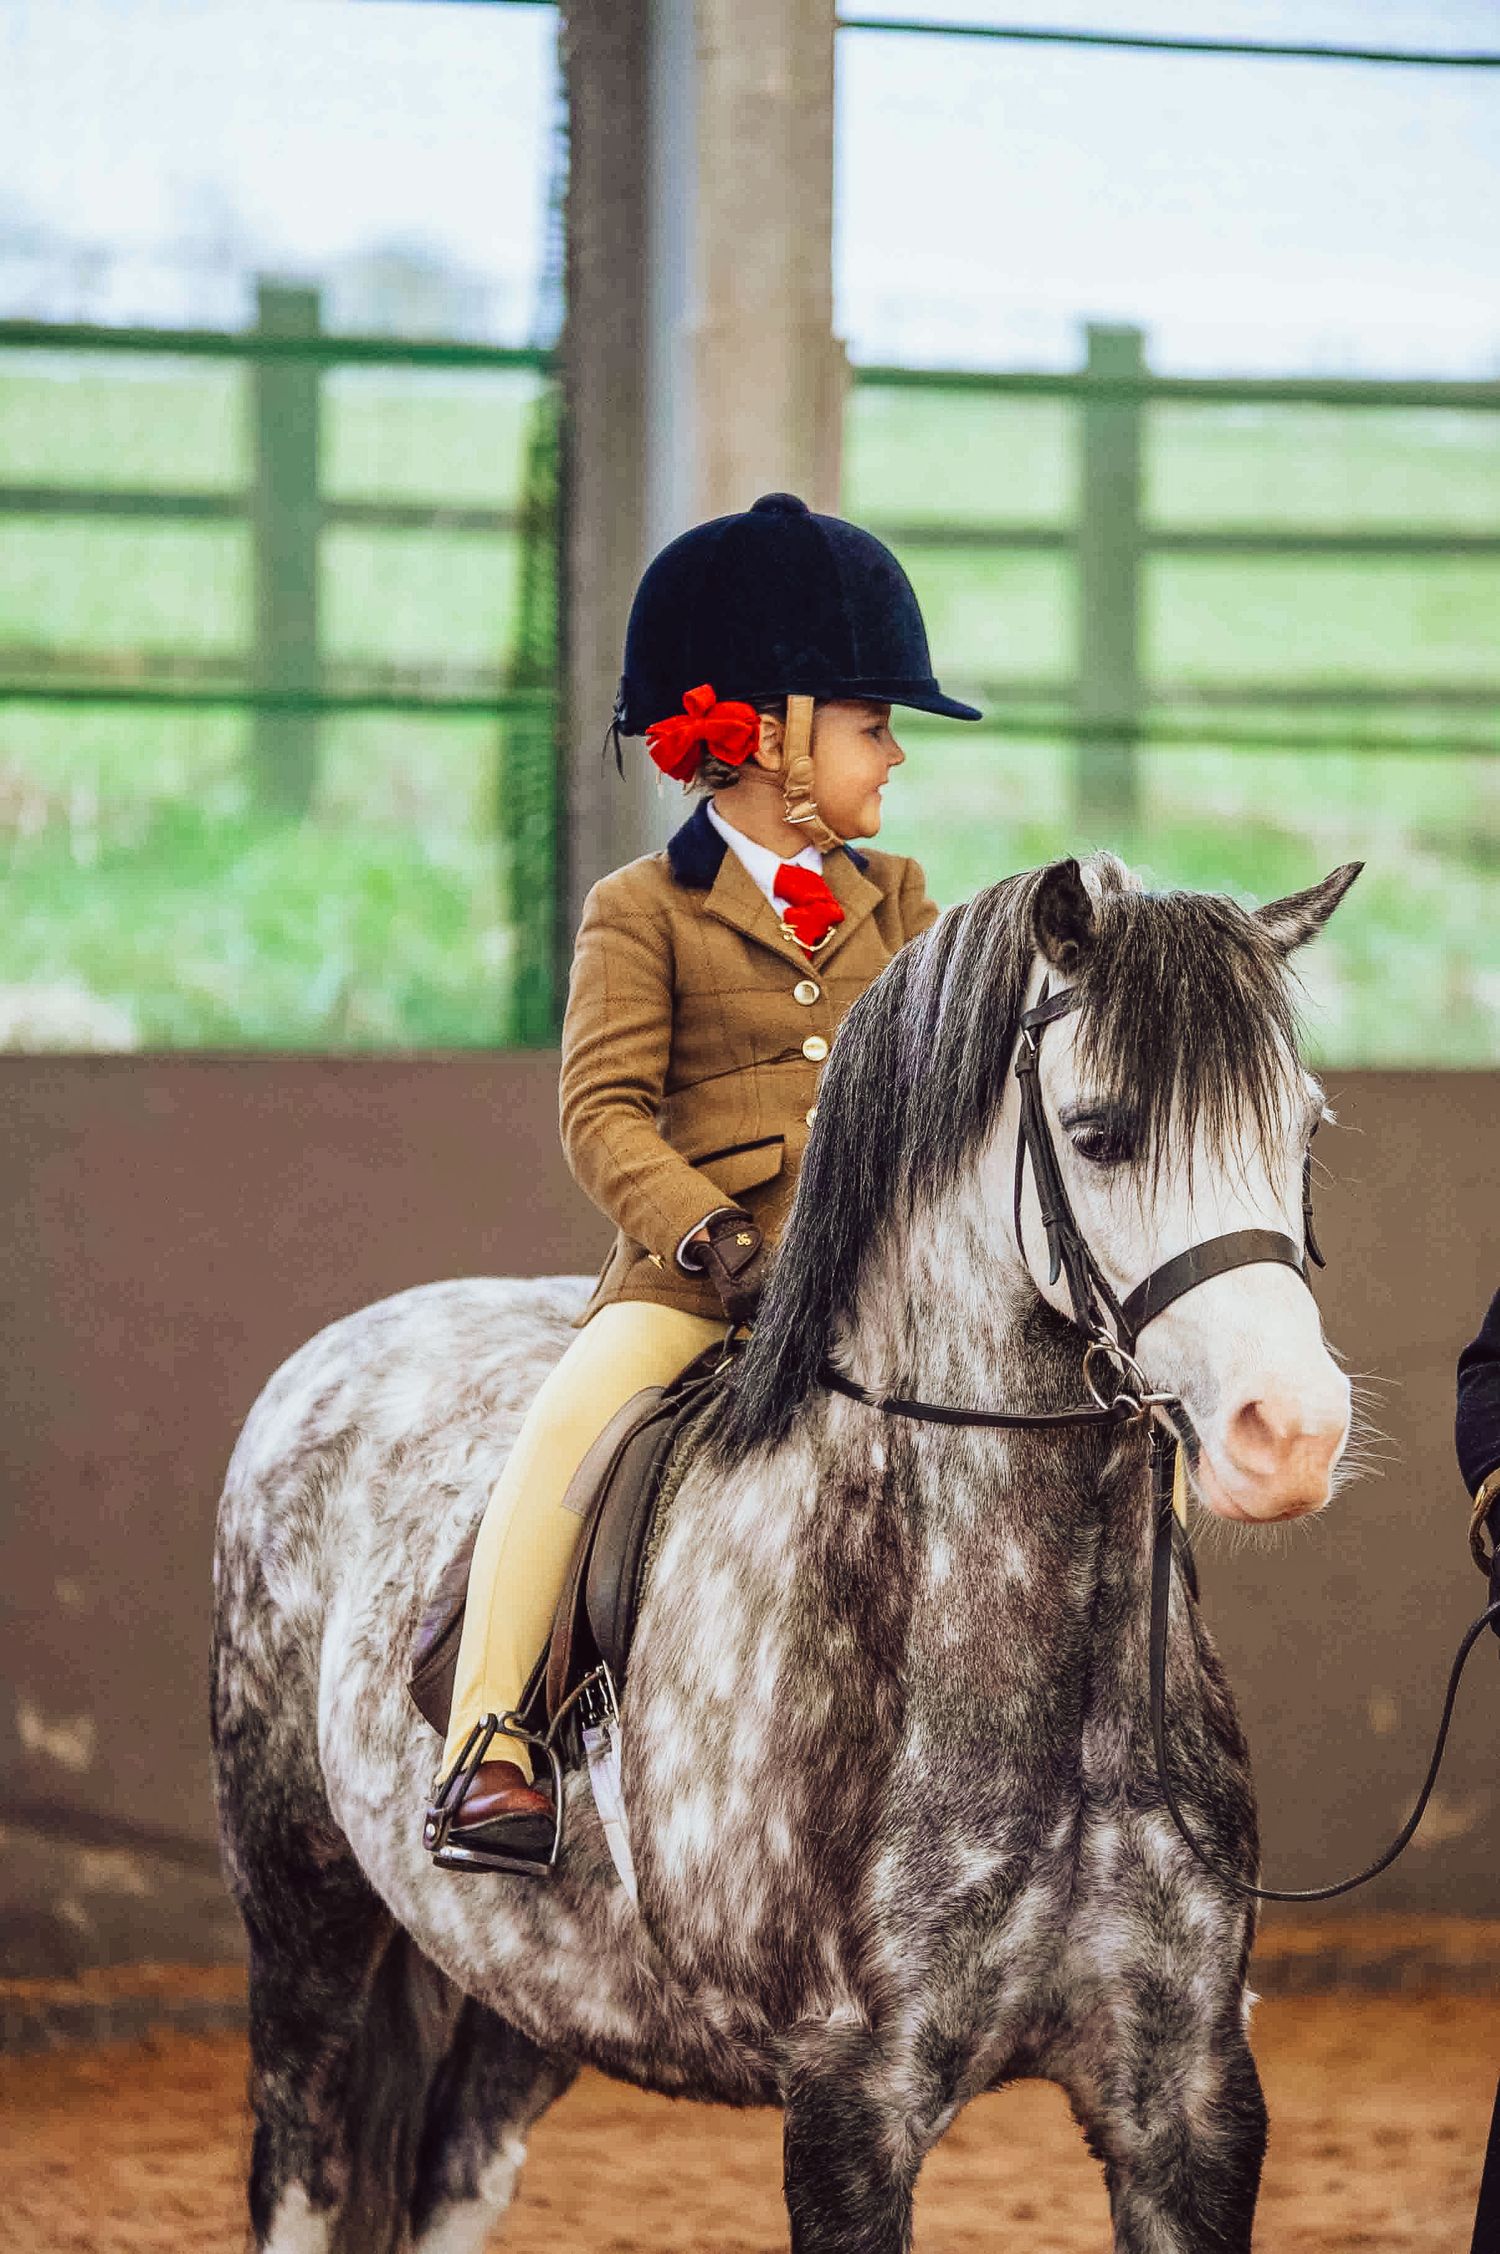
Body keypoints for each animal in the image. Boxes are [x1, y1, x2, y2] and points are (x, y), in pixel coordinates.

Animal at [211, 850, 1360, 2254]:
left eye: (1305, 1132)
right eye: (1100, 1133)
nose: (1291, 1431)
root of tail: (333, 1353)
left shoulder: (1188, 2093)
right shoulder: (847, 2098)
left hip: (532, 1986)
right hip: (304, 1923)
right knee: (303, 2164)